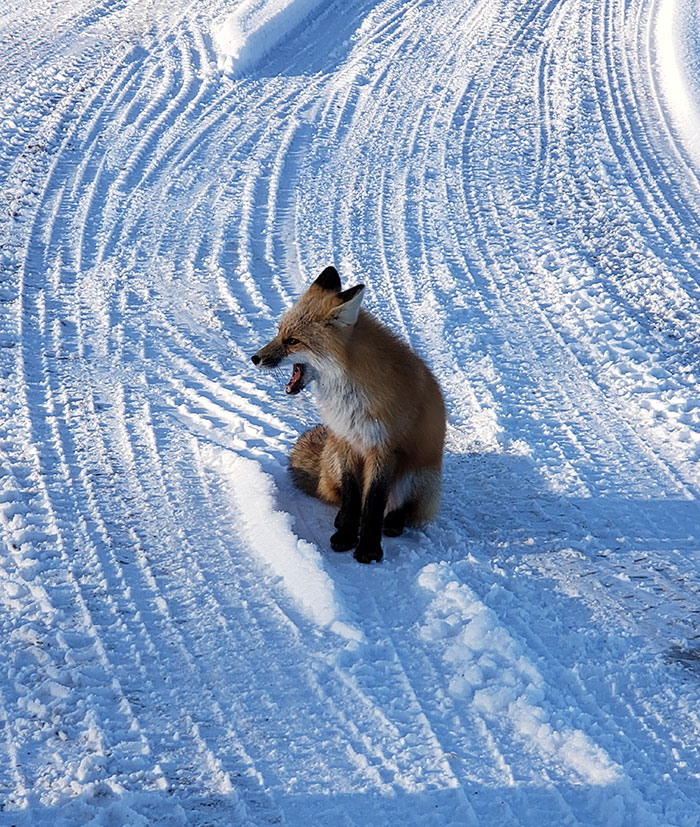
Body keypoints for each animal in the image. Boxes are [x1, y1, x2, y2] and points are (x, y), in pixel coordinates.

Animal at [251, 266, 446, 564]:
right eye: (279, 333)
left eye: (293, 341)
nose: (255, 358)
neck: (350, 396)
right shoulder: (346, 440)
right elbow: (353, 498)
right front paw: (345, 535)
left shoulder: (382, 447)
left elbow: (373, 504)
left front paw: (368, 549)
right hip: (332, 453)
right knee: (338, 495)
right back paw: (340, 520)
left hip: (417, 473)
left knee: (399, 507)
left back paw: (393, 523)